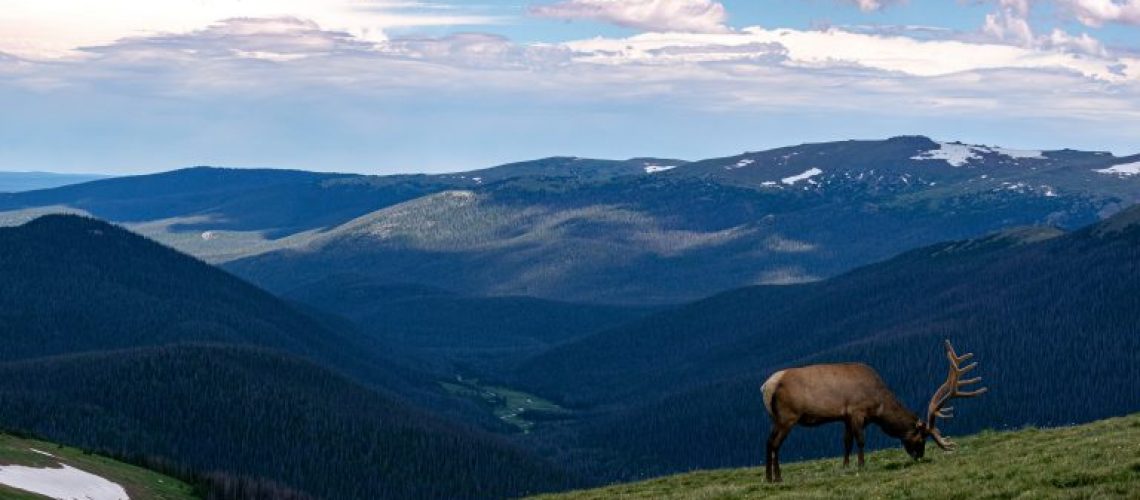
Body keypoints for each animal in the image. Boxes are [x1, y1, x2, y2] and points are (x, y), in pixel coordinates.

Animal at [756, 341, 989, 480]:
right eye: (921, 437)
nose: (920, 456)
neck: (879, 407)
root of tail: (766, 387)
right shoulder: (857, 411)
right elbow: (860, 440)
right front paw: (861, 466)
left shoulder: (845, 416)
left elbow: (847, 442)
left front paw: (846, 466)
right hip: (788, 416)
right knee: (775, 444)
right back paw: (777, 477)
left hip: (775, 418)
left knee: (768, 442)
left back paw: (769, 477)